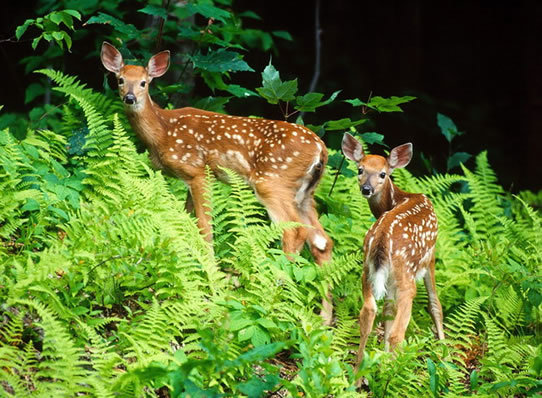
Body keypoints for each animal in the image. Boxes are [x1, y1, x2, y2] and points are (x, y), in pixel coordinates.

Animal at [98, 42, 336, 324]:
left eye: (144, 82)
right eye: (120, 80)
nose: (130, 98)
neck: (163, 132)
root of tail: (321, 150)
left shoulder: (198, 171)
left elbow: (204, 228)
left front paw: (211, 281)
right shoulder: (187, 179)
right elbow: (184, 224)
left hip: (272, 181)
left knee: (293, 231)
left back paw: (273, 297)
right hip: (305, 194)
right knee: (322, 241)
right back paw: (324, 319)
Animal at [344, 134, 446, 382]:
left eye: (383, 174)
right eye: (360, 169)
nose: (366, 189)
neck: (399, 198)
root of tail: (381, 238)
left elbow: (387, 312)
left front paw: (381, 361)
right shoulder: (430, 256)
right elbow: (435, 304)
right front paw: (445, 356)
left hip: (367, 269)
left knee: (368, 312)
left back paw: (357, 377)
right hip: (406, 273)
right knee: (399, 331)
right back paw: (391, 376)